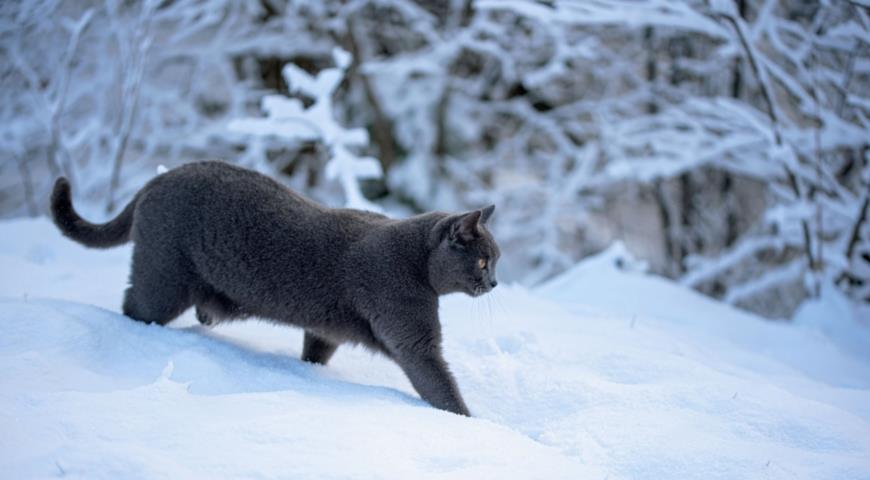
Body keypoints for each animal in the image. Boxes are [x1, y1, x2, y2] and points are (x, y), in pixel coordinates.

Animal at [51, 162, 500, 416]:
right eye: (482, 261)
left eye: (495, 261)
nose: (494, 282)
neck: (416, 263)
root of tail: (158, 179)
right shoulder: (411, 334)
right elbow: (439, 385)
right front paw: (469, 423)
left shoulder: (326, 330)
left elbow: (316, 351)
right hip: (164, 276)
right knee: (134, 305)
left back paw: (209, 314)